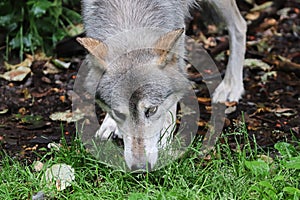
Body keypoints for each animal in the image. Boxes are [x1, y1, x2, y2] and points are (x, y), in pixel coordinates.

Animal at [77, 0, 246, 171]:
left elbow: (170, 111)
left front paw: (165, 145)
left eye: (152, 110)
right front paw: (110, 124)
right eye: (118, 113)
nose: (140, 167)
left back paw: (232, 85)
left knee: (239, 25)